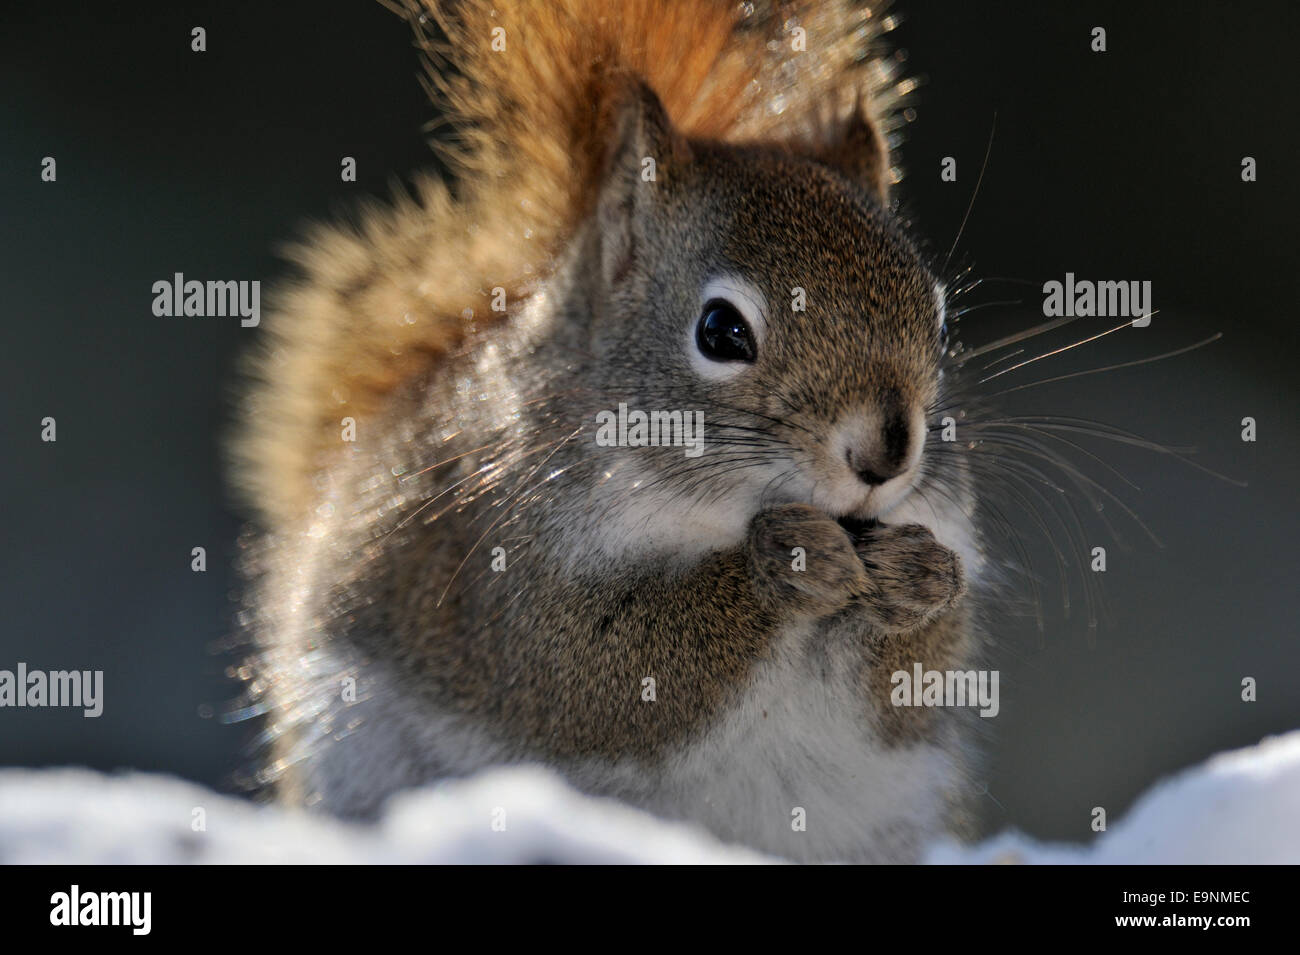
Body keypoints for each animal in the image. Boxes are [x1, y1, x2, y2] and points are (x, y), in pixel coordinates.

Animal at [231, 1, 982, 867]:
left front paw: (923, 577)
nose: (885, 454)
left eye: (939, 317)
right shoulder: (504, 569)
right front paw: (786, 562)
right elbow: (603, 673)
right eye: (721, 331)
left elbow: (914, 686)